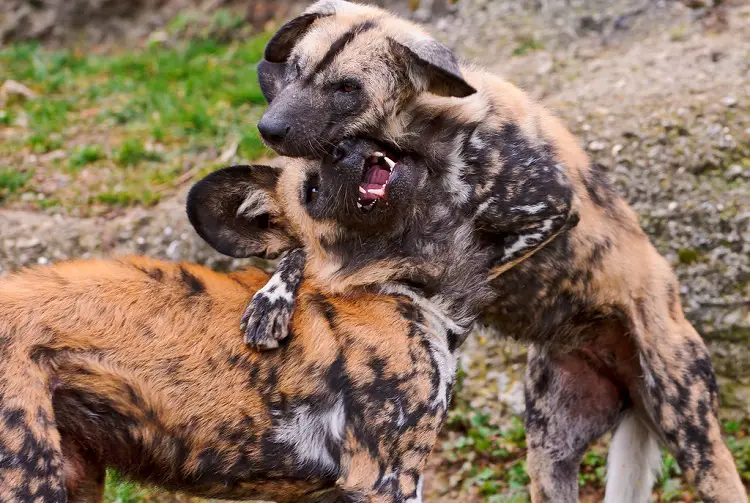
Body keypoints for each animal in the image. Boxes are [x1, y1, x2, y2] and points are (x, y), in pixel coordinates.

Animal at [235, 1, 748, 502]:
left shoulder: (549, 211)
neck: (414, 140)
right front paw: (271, 299)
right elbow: (302, 252)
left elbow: (467, 265)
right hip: (550, 454)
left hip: (694, 438)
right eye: (295, 69)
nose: (269, 127)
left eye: (347, 88)